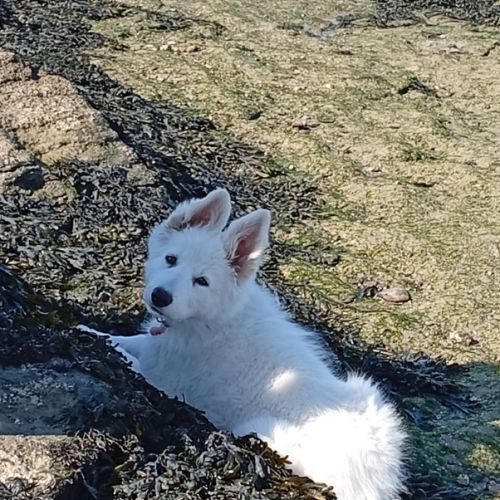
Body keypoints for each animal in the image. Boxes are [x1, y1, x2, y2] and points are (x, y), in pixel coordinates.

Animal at [79, 188, 406, 499]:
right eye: (171, 259)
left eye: (202, 281)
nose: (160, 297)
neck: (211, 318)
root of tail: (376, 482)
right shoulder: (157, 345)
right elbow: (131, 339)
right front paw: (89, 329)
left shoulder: (168, 379)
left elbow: (128, 356)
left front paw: (93, 335)